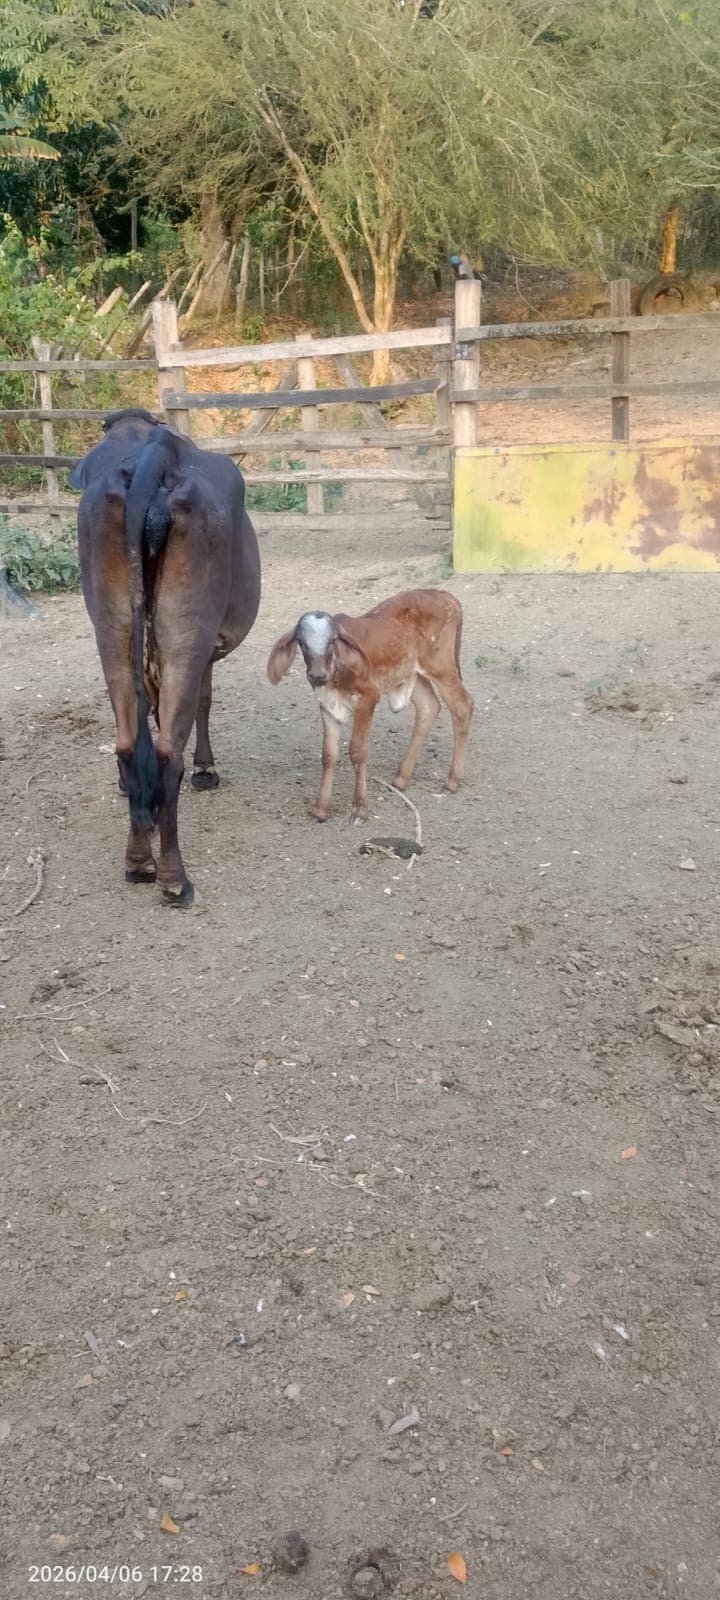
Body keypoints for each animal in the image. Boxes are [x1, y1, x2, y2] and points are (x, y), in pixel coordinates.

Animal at [69, 408, 261, 906]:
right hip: (186, 636)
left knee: (126, 741)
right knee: (167, 750)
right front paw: (206, 769)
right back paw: (174, 880)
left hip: (111, 630)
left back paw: (138, 860)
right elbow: (204, 703)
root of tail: (153, 459)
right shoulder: (207, 648)